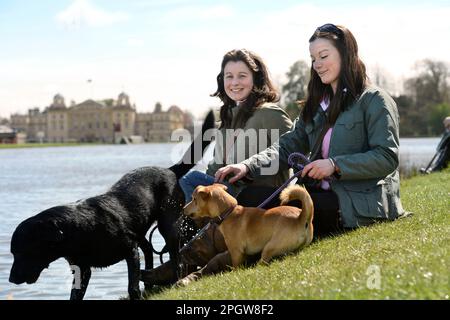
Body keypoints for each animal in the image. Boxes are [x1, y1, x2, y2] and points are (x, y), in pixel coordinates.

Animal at [8, 110, 215, 300]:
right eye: (13, 253)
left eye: (22, 252)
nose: (10, 279)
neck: (79, 229)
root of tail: (169, 171)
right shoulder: (82, 268)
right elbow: (75, 294)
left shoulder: (130, 250)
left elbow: (132, 286)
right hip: (140, 229)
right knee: (149, 250)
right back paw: (149, 285)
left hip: (168, 226)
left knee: (175, 258)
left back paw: (176, 281)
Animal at [183, 184, 312, 266]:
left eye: (194, 199)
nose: (183, 208)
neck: (228, 213)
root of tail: (301, 218)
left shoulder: (236, 251)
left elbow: (236, 268)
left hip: (269, 247)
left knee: (263, 261)